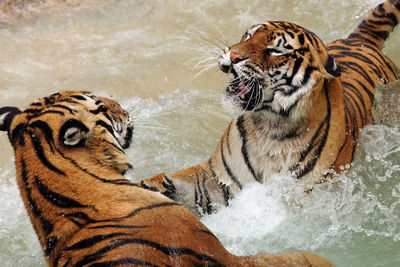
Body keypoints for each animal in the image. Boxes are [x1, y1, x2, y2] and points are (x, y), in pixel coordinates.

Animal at [138, 0, 400, 215]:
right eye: (248, 36)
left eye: (275, 50)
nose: (233, 55)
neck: (271, 126)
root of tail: (359, 39)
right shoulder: (217, 178)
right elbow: (186, 183)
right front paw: (150, 185)